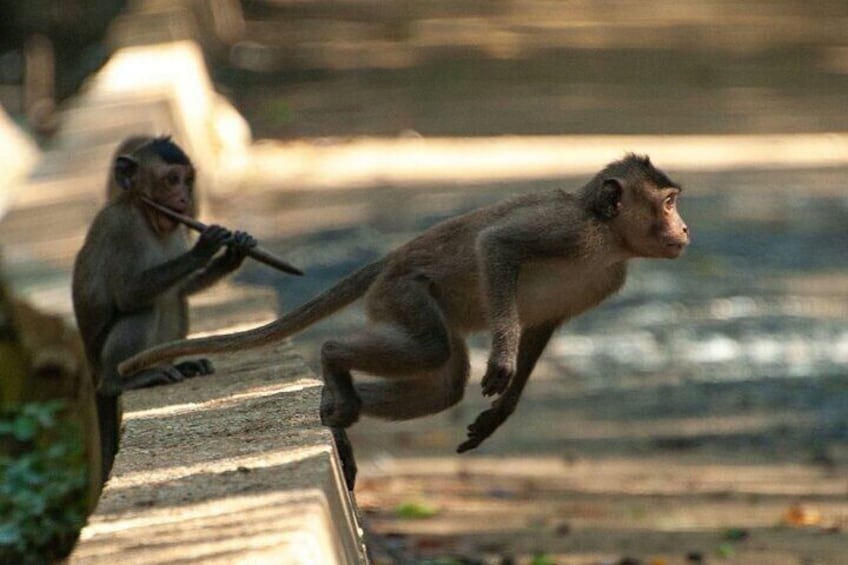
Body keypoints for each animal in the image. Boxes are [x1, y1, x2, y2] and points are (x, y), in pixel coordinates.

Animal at [72, 136, 257, 480]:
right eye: (172, 180)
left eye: (188, 180)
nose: (185, 197)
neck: (146, 215)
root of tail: (92, 370)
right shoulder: (122, 229)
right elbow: (127, 295)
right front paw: (206, 246)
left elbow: (183, 289)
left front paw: (233, 253)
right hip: (105, 364)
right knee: (144, 308)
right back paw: (125, 381)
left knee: (175, 301)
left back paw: (182, 365)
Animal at [119, 154, 689, 475]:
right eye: (667, 203)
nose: (684, 229)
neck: (608, 237)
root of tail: (390, 260)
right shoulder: (569, 229)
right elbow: (496, 245)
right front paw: (503, 362)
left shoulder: (605, 278)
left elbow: (542, 325)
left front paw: (501, 410)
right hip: (404, 294)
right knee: (430, 350)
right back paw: (333, 364)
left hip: (402, 304)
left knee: (444, 382)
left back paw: (334, 405)